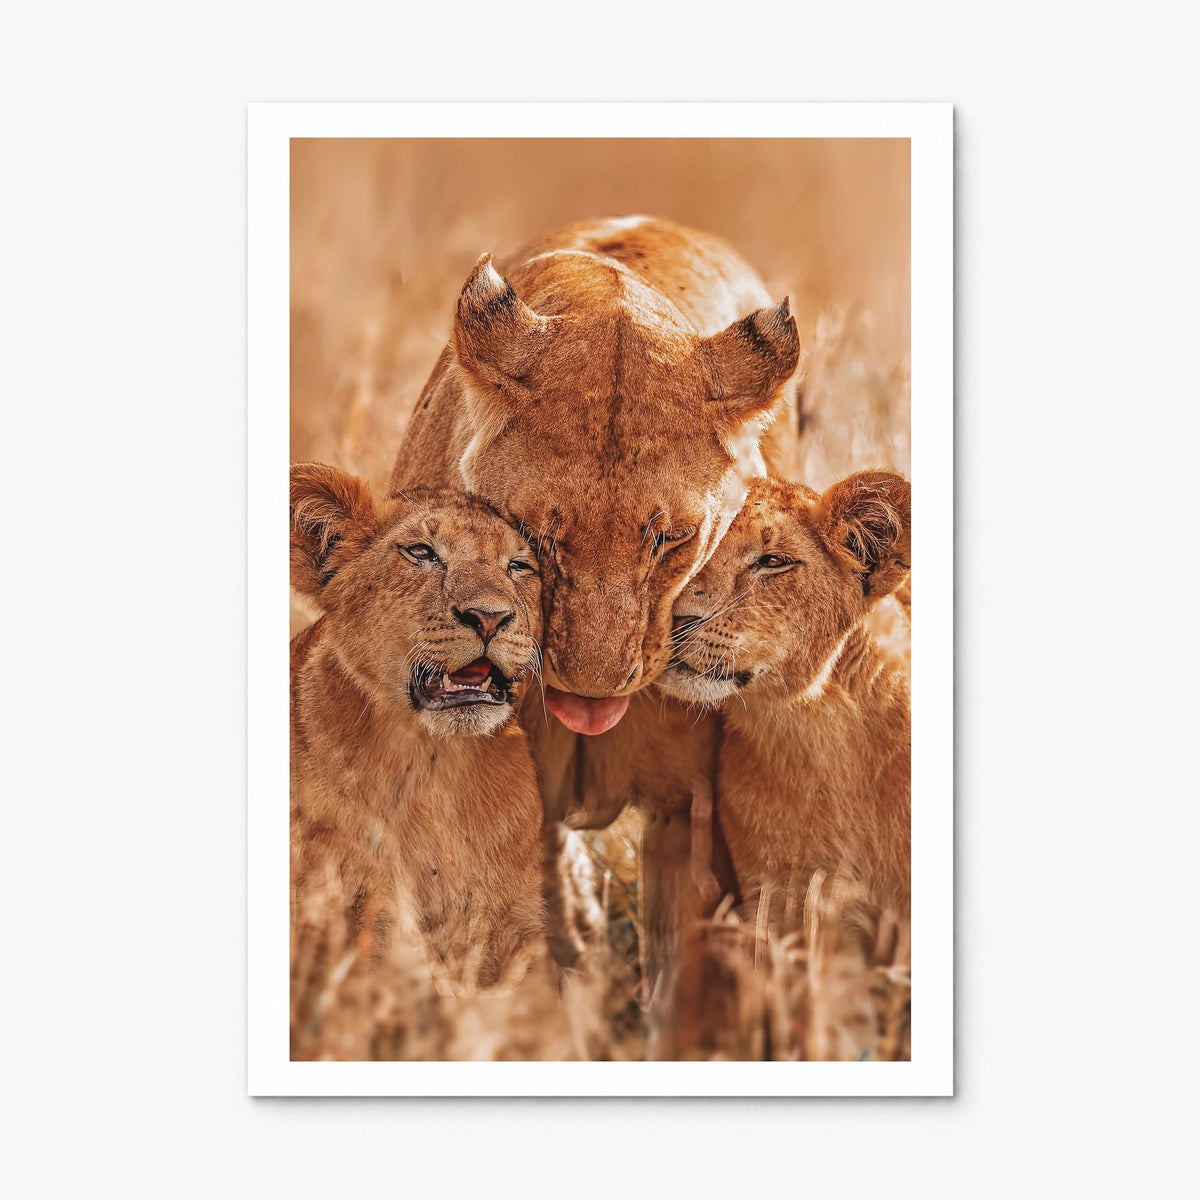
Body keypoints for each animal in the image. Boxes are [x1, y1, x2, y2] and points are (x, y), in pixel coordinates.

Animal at [289, 462, 549, 990]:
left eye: (518, 566)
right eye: (422, 553)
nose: (489, 617)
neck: (438, 767)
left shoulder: (523, 925)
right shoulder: (359, 906)